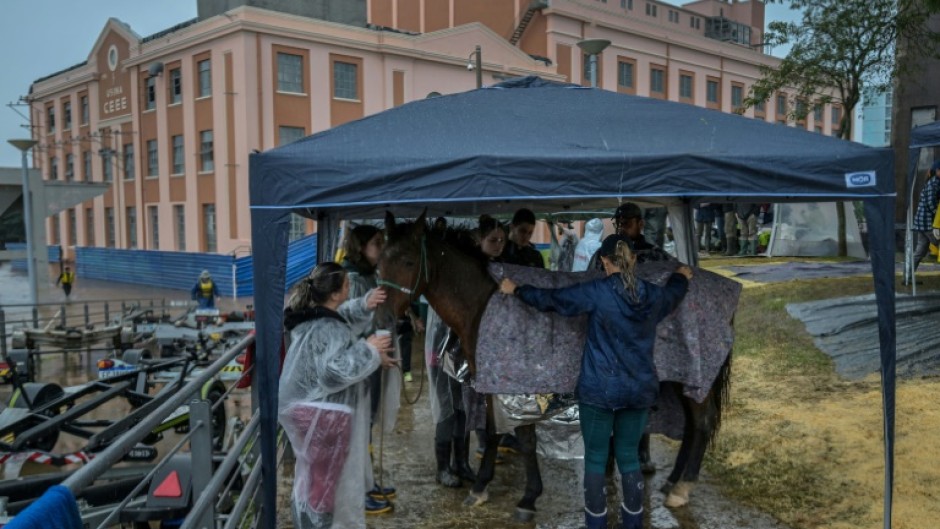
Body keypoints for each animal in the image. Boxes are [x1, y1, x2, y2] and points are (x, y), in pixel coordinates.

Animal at [378, 210, 732, 520]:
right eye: (380, 261)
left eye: (408, 261)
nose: (386, 318)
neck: (485, 304)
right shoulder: (491, 384)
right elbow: (492, 432)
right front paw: (480, 488)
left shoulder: (519, 387)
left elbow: (525, 438)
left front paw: (528, 498)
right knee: (691, 425)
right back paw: (672, 482)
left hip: (693, 379)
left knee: (702, 423)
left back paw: (682, 489)